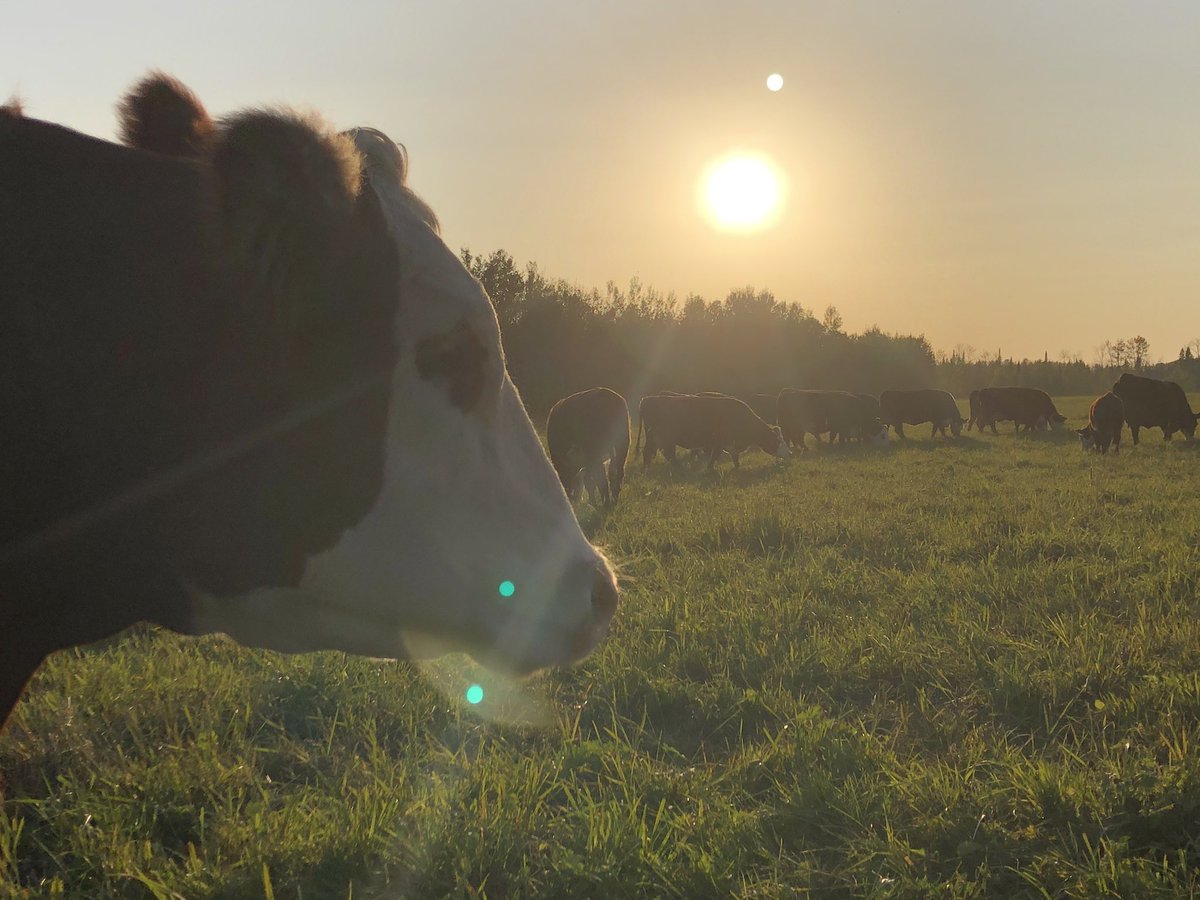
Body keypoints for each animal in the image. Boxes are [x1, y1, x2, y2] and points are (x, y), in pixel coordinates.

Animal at [637, 393, 788, 470]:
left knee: (652, 452)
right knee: (664, 453)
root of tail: (647, 400)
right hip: (663, 437)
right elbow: (716, 455)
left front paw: (737, 466)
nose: (790, 453)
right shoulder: (720, 441)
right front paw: (710, 469)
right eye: (777, 441)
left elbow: (733, 455)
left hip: (657, 438)